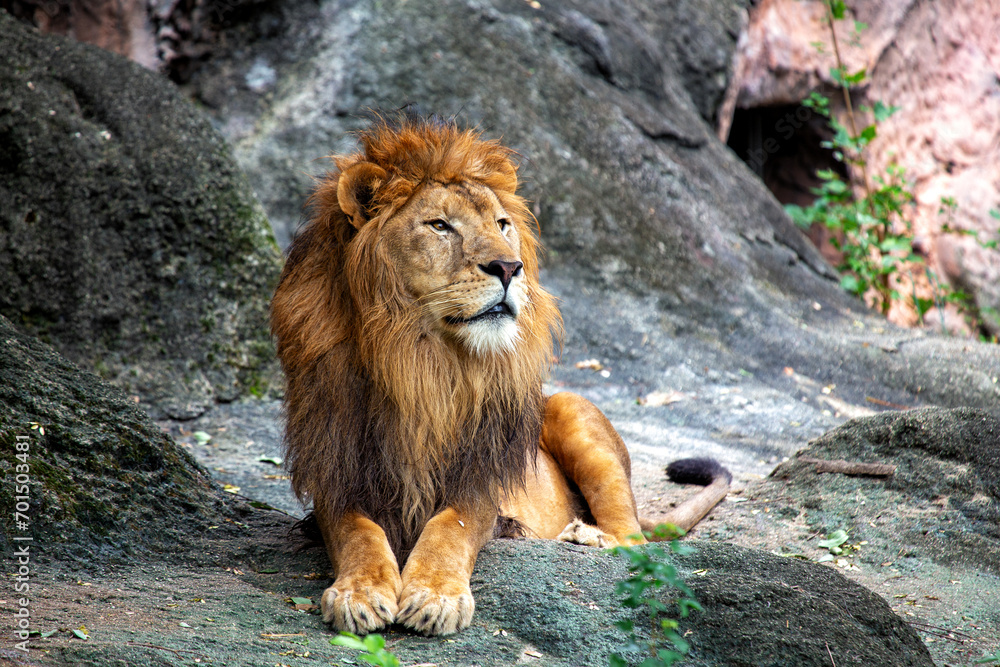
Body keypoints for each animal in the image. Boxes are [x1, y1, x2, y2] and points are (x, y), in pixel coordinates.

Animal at [269, 114, 730, 637]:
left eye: (501, 224)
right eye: (440, 225)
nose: (510, 267)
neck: (418, 361)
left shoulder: (479, 476)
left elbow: (450, 528)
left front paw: (436, 596)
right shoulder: (337, 465)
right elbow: (357, 531)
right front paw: (359, 592)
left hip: (569, 408)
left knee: (635, 539)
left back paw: (587, 536)